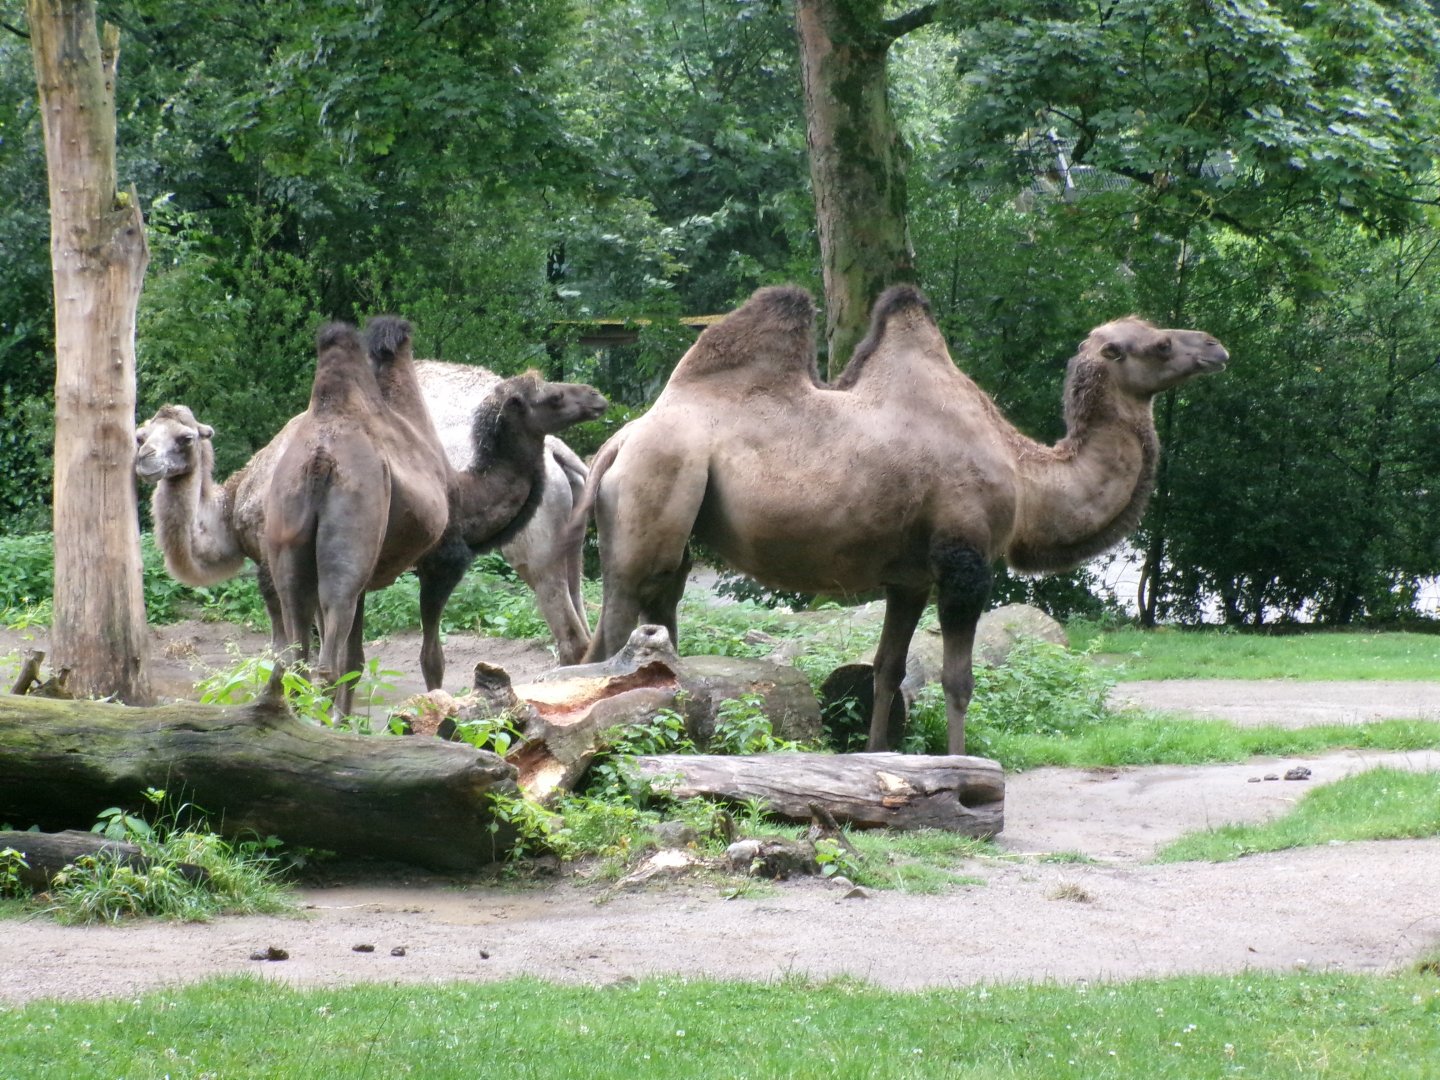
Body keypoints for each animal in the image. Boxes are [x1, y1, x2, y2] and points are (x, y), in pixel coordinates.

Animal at [263, 319, 451, 715]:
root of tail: (318, 462)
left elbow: (355, 656)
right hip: (349, 550)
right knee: (328, 662)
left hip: (288, 543)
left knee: (298, 656)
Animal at [574, 284, 1229, 754]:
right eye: (1159, 344)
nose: (1215, 347)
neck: (1026, 476)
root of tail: (620, 441)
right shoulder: (964, 561)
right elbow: (958, 680)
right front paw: (959, 766)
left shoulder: (909, 578)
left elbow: (886, 671)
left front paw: (875, 755)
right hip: (654, 487)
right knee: (607, 635)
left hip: (674, 529)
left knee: (662, 609)